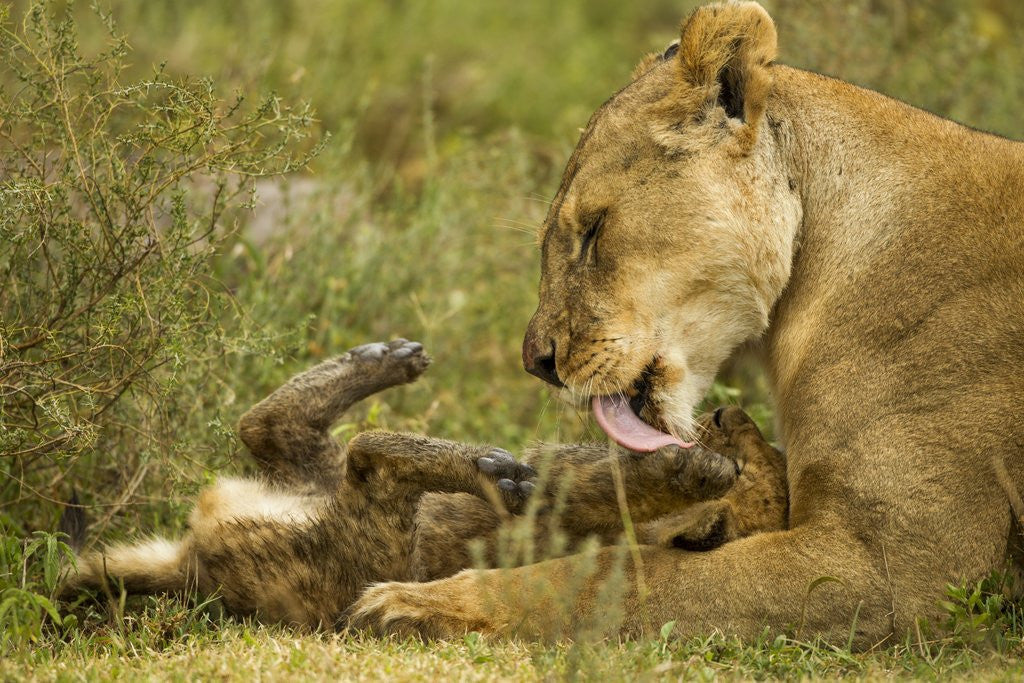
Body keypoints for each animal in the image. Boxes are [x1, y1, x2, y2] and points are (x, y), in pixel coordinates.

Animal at [64, 339, 786, 627]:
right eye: (771, 449)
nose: (729, 415)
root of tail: (189, 567)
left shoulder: (572, 489)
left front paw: (694, 469)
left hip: (362, 536)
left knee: (364, 453)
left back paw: (487, 464)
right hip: (314, 473)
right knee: (266, 423)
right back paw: (385, 359)